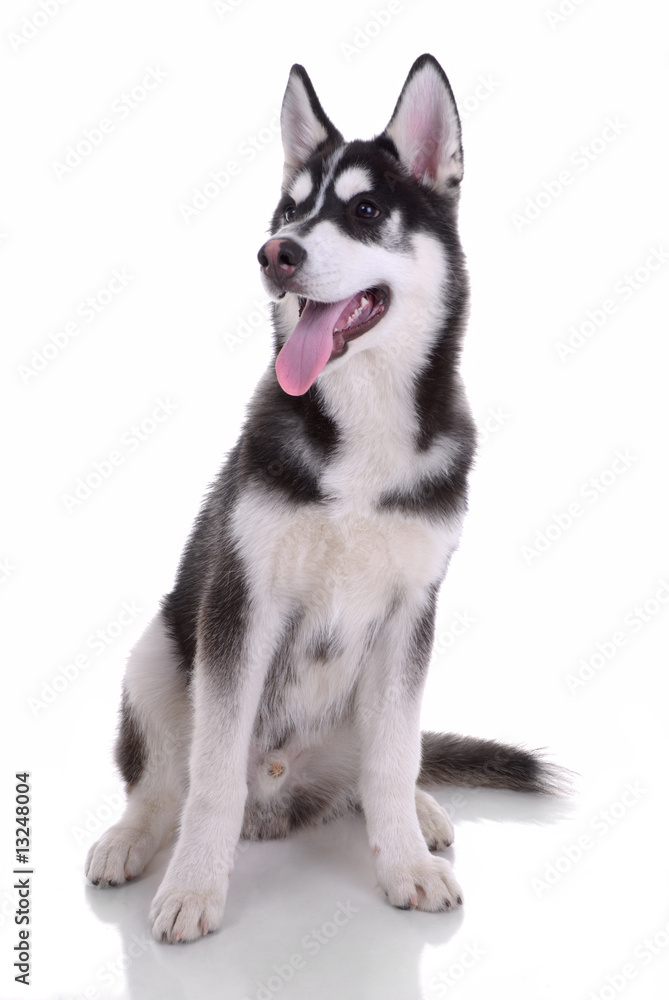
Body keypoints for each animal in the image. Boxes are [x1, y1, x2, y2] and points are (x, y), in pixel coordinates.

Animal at [85, 54, 564, 944]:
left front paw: (404, 861)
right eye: (289, 210)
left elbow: (392, 757)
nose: (274, 253)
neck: (363, 426)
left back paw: (420, 811)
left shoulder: (412, 611)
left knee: (382, 765)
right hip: (156, 651)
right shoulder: (241, 603)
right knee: (161, 782)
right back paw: (132, 837)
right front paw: (193, 886)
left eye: (365, 209)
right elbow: (209, 775)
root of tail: (284, 794)